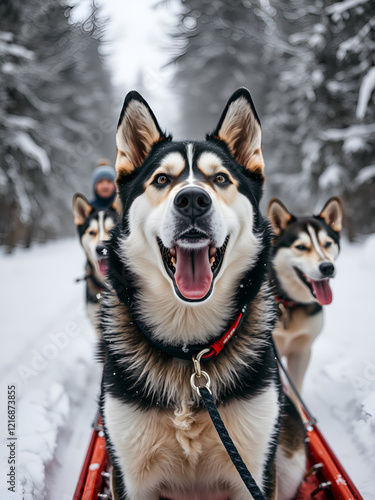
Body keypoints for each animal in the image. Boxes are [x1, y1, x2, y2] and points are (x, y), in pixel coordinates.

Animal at [98, 90, 306, 500]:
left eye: (220, 178)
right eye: (162, 179)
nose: (193, 199)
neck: (190, 347)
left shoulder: (255, 470)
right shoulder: (129, 476)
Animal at [268, 197, 344, 412]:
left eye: (328, 244)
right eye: (301, 247)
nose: (327, 267)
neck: (288, 301)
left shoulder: (302, 351)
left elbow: (295, 395)